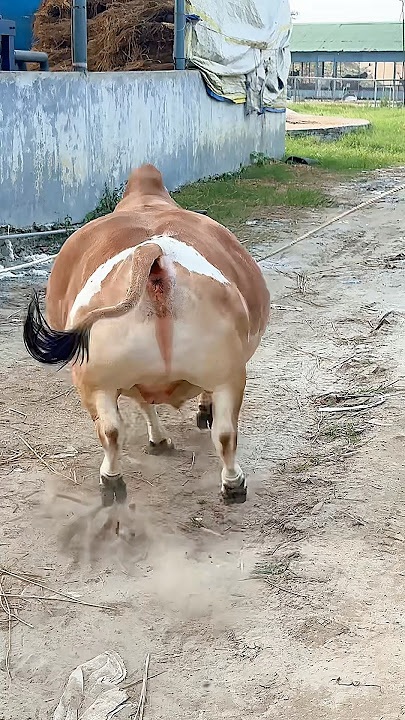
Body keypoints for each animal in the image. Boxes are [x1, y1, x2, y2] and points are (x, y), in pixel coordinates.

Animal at [24, 165, 270, 506]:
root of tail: (152, 253)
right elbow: (149, 402)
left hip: (97, 381)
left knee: (112, 431)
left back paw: (112, 482)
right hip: (225, 374)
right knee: (222, 433)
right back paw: (232, 484)